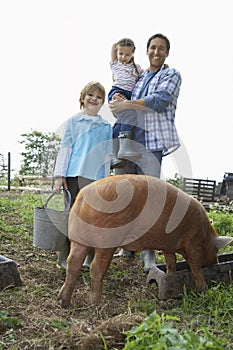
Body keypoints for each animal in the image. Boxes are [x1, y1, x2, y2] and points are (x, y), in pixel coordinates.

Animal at [57, 174, 233, 306]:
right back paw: (95, 302)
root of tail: (83, 197)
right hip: (105, 239)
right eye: (216, 250)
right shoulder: (193, 243)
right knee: (96, 267)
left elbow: (171, 261)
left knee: (73, 263)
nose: (216, 262)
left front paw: (170, 275)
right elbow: (195, 266)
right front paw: (203, 289)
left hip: (77, 237)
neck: (205, 234)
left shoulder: (168, 245)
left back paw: (63, 301)